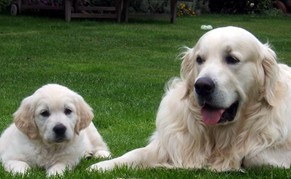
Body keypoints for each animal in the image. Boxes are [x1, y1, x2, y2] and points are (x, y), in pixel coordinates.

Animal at [89, 25, 291, 171]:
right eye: (199, 59)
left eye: (232, 59)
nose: (202, 86)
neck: (219, 135)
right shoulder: (171, 142)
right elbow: (135, 153)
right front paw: (102, 165)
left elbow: (253, 156)